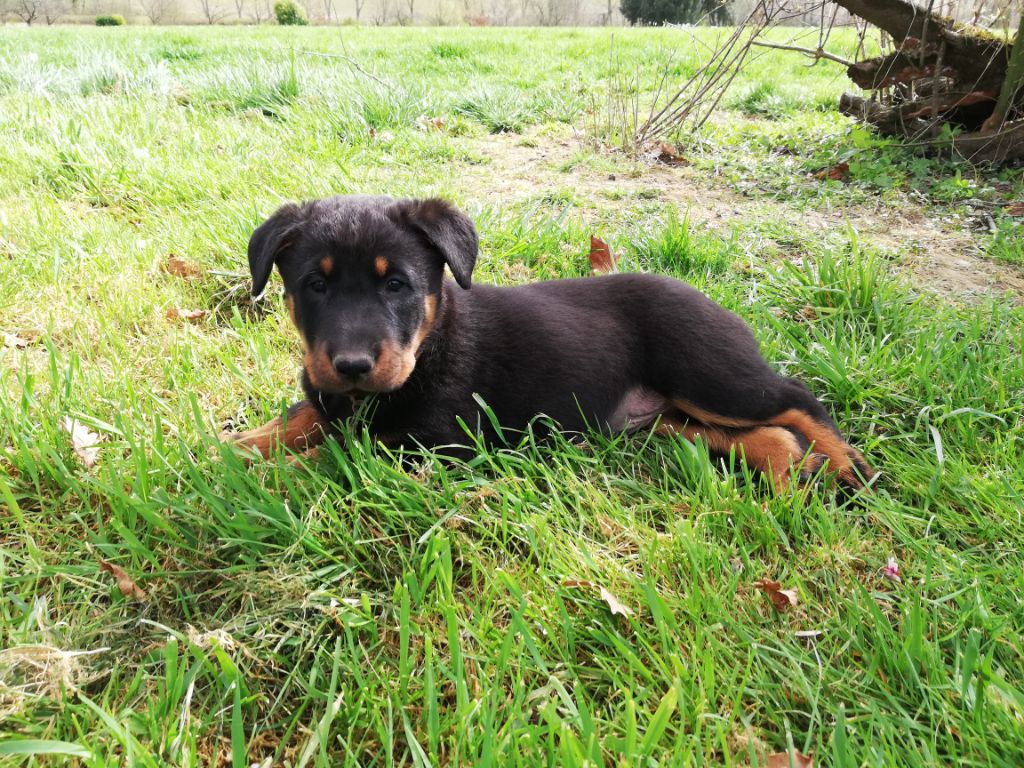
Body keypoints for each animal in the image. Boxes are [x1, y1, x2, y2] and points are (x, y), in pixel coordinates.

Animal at [222, 195, 873, 492]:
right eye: (315, 285)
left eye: (396, 284)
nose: (352, 365)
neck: (430, 344)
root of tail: (716, 303)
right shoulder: (330, 394)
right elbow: (302, 416)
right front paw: (237, 448)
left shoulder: (433, 445)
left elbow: (333, 459)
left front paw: (246, 479)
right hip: (661, 420)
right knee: (767, 435)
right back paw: (788, 473)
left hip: (707, 373)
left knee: (797, 398)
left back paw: (845, 464)